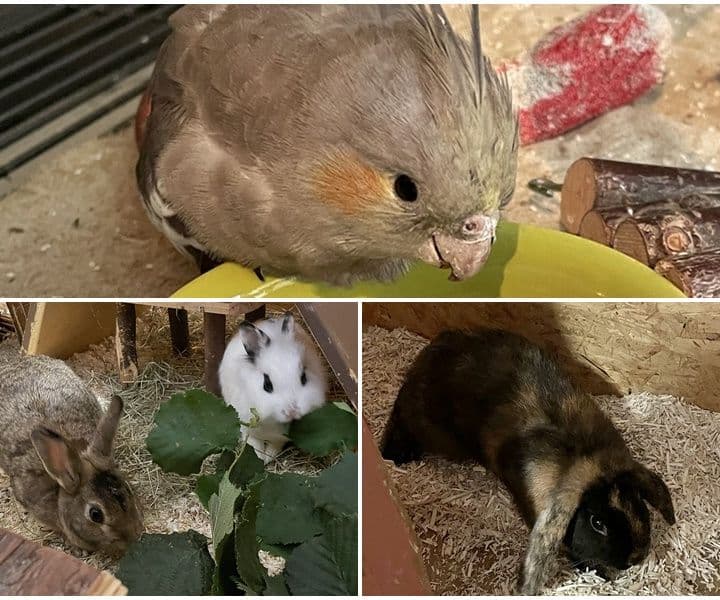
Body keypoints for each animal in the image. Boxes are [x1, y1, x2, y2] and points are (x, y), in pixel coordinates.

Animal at [219, 313, 327, 463]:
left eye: (304, 377)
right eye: (267, 385)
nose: (292, 411)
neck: (272, 421)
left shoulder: (280, 438)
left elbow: (275, 445)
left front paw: (268, 457)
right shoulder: (245, 426)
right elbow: (254, 444)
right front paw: (260, 458)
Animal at [381, 328, 676, 595]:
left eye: (637, 502)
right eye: (597, 523)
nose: (634, 559)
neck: (581, 454)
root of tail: (426, 357)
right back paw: (394, 454)